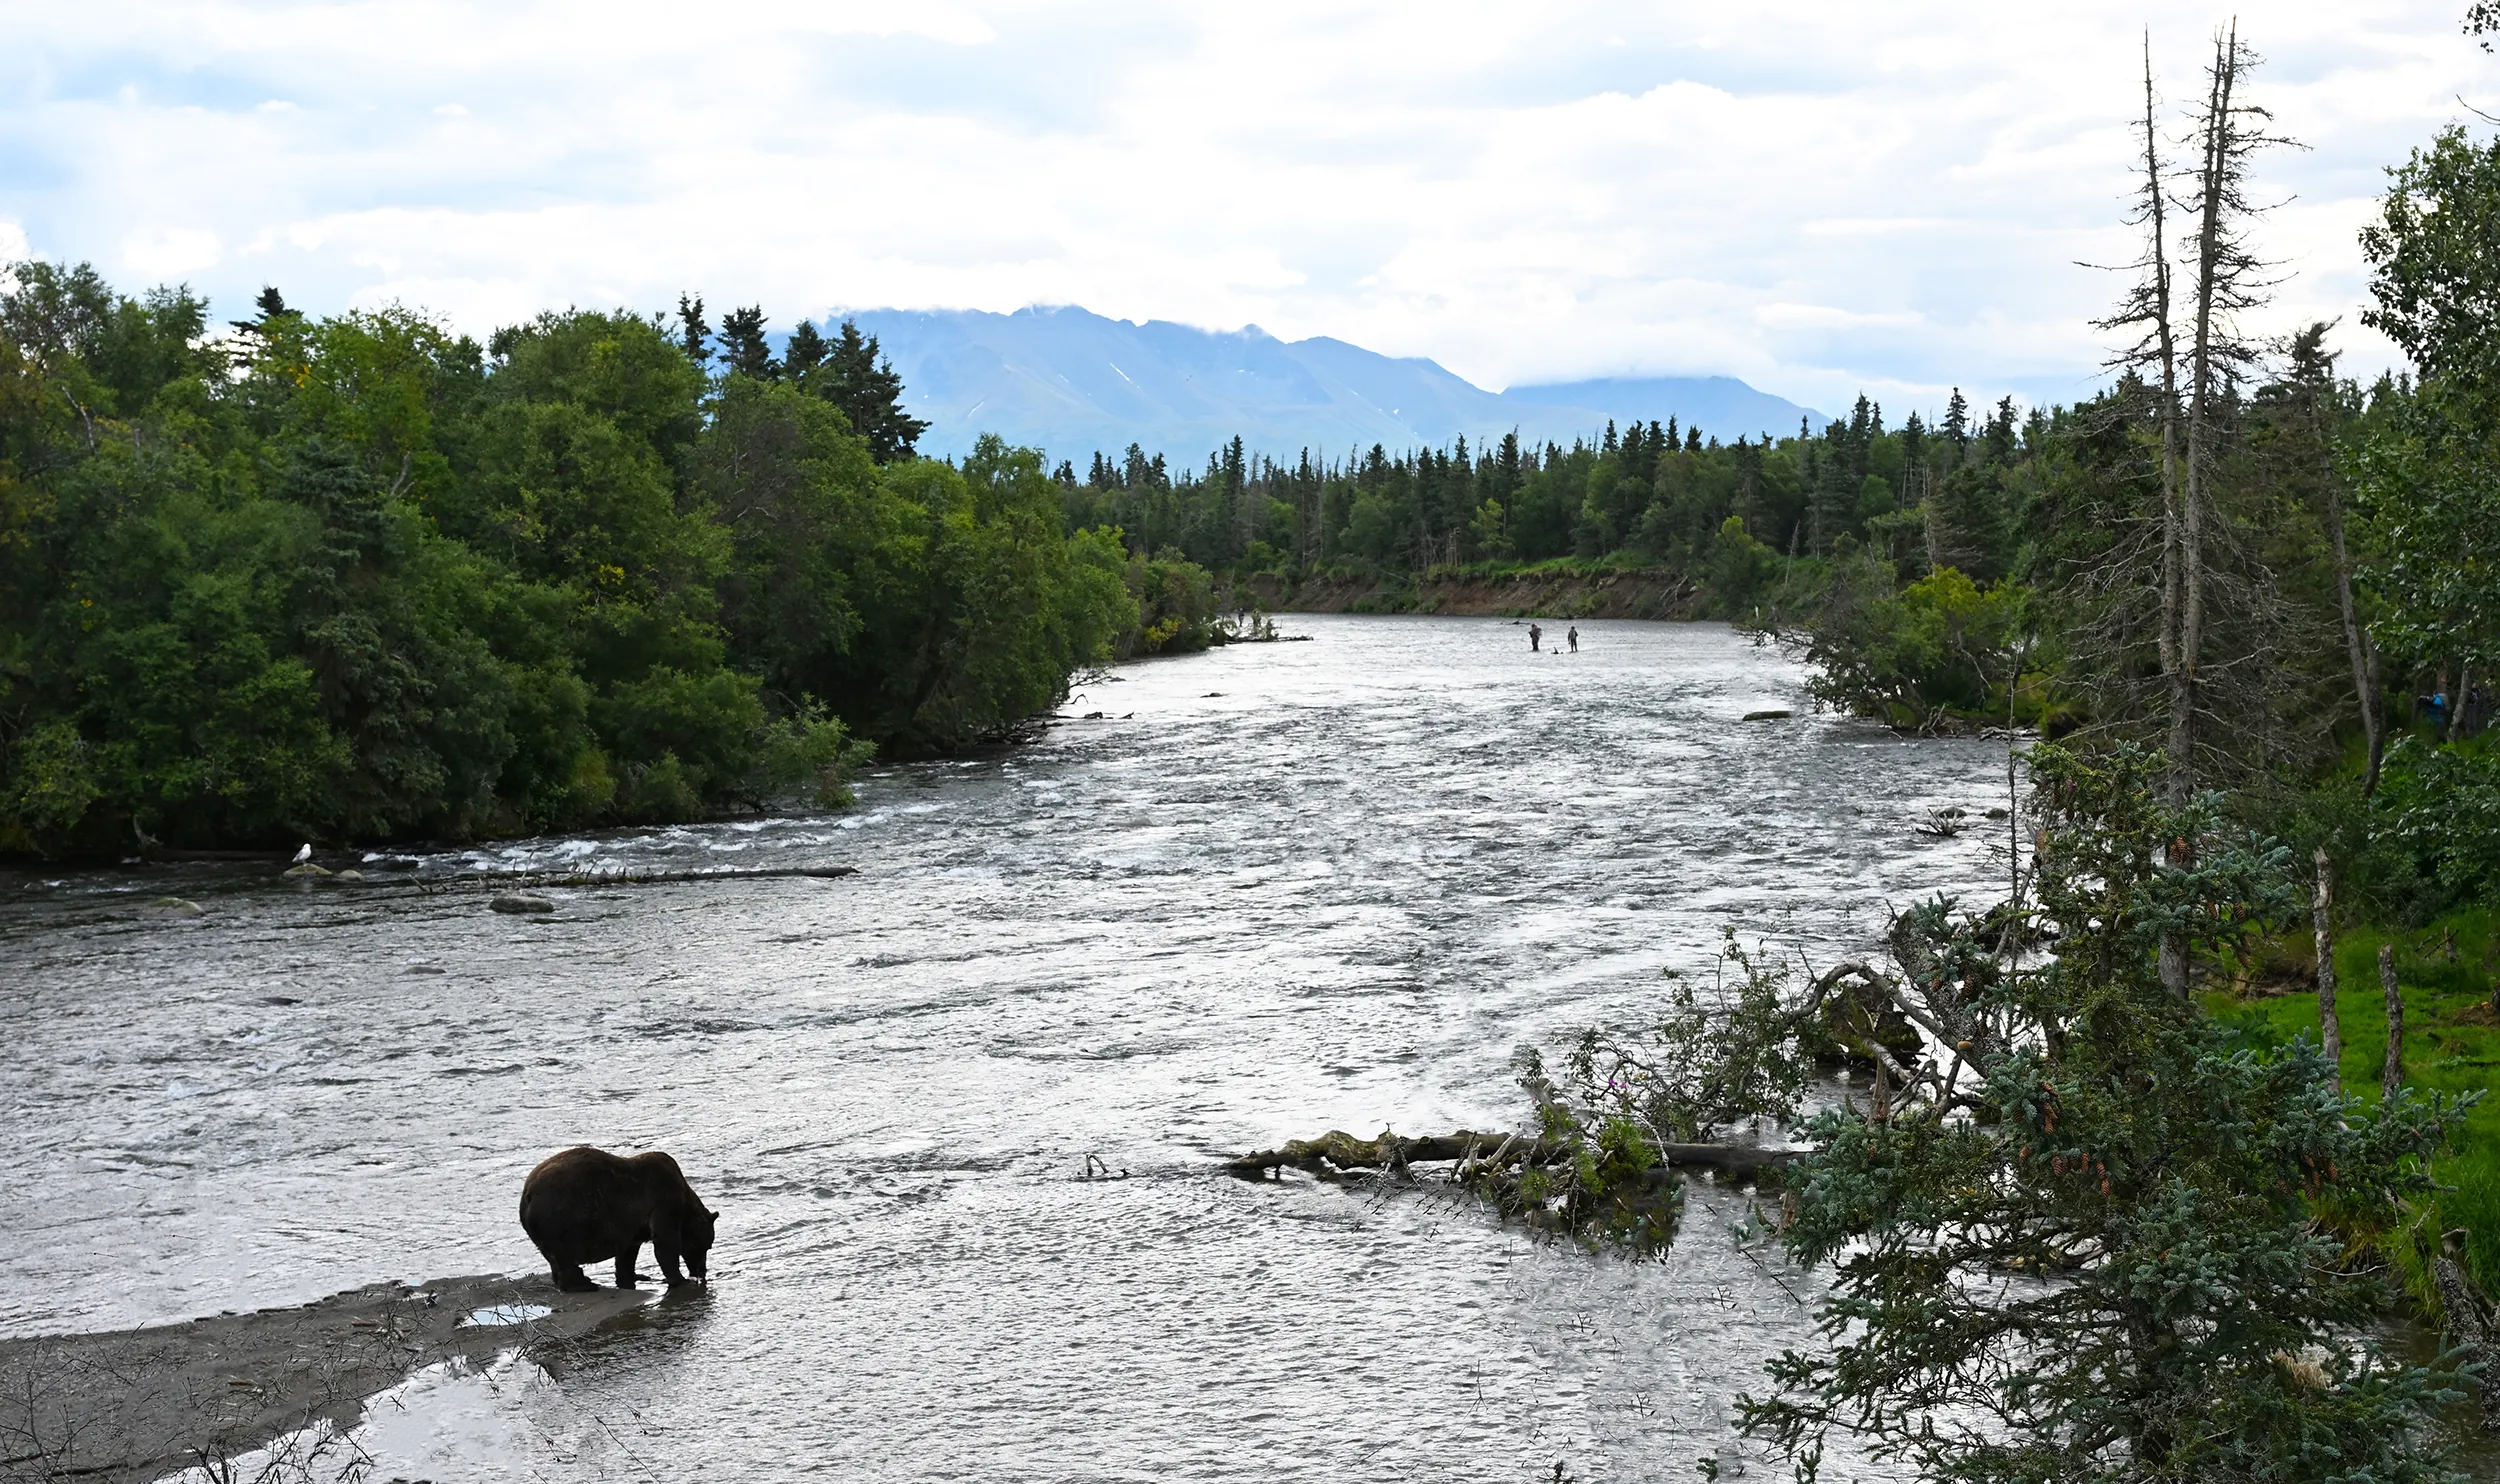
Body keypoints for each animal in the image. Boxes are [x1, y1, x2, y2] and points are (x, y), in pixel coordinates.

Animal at [519, 1146, 718, 1292]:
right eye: (704, 1246)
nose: (701, 1272)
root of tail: (528, 1195)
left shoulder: (632, 1226)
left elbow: (627, 1253)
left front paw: (632, 1276)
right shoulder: (664, 1199)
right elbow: (665, 1242)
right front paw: (680, 1279)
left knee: (554, 1257)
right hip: (561, 1218)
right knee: (565, 1256)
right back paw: (585, 1284)